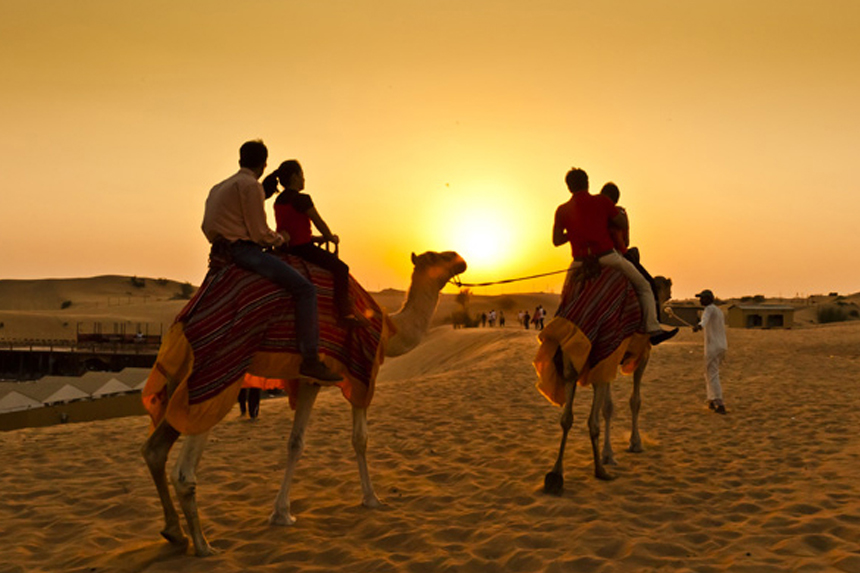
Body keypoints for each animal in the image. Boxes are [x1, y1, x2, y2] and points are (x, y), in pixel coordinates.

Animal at [142, 249, 466, 556]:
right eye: (437, 257)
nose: (461, 259)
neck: (388, 328)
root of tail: (183, 323)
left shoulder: (310, 380)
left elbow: (295, 442)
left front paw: (281, 513)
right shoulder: (360, 375)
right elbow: (360, 439)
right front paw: (372, 499)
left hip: (179, 381)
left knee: (154, 450)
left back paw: (174, 532)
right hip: (215, 376)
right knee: (184, 472)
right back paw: (203, 545)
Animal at [536, 264, 672, 492]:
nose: (669, 297)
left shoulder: (604, 362)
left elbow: (607, 407)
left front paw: (608, 454)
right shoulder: (641, 353)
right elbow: (634, 401)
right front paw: (634, 444)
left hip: (572, 359)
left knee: (567, 416)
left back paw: (556, 473)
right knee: (591, 418)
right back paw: (596, 470)